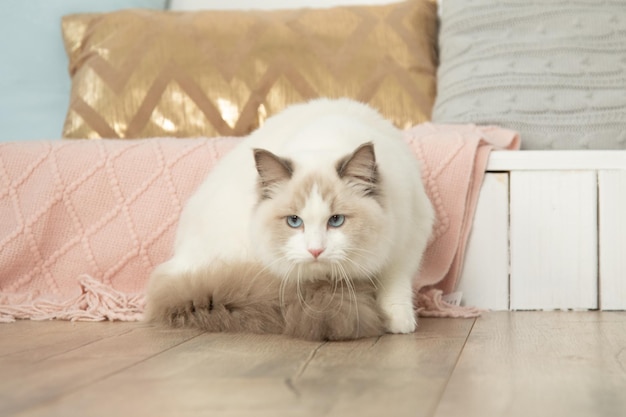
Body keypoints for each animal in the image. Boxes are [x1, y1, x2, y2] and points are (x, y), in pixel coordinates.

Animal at [144, 97, 432, 338]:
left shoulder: (407, 242)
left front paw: (399, 322)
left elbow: (394, 283)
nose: (315, 251)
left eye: (336, 220)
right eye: (294, 221)